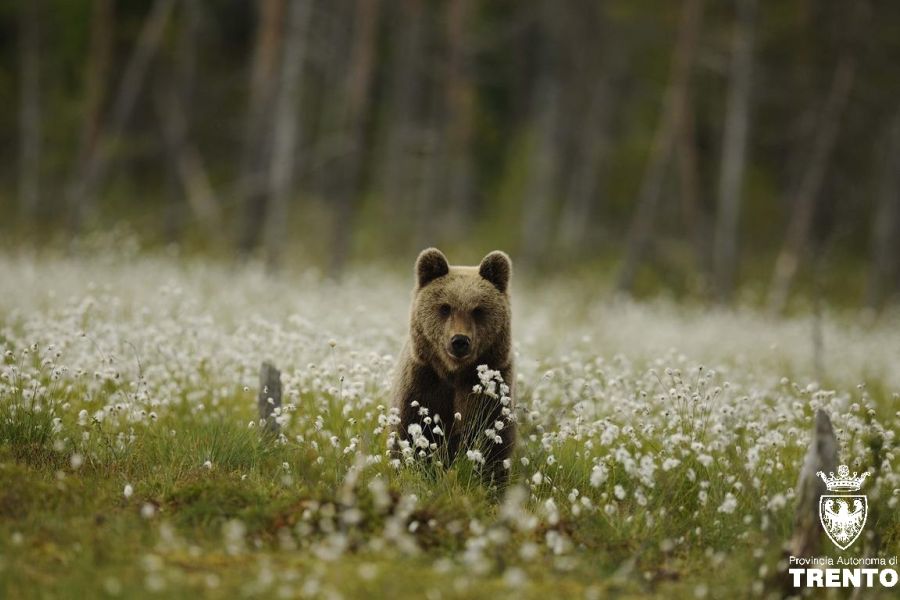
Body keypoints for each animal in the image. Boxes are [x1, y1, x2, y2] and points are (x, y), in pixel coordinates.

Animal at [390, 248, 516, 482]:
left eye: (478, 310)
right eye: (445, 307)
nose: (459, 341)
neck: (454, 373)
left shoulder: (491, 388)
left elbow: (492, 443)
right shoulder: (423, 381)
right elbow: (412, 433)